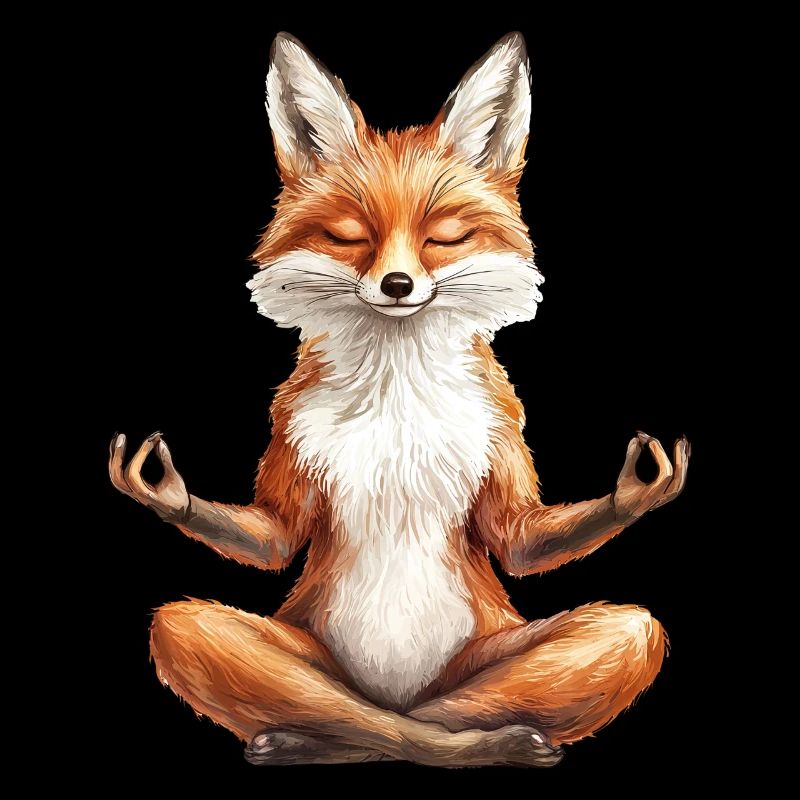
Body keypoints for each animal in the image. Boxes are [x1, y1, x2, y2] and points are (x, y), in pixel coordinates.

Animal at [109, 32, 689, 767]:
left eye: (443, 236)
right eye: (349, 235)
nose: (396, 284)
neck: (397, 395)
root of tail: (396, 692)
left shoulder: (501, 432)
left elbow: (519, 541)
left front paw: (634, 490)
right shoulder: (290, 430)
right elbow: (276, 537)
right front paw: (168, 490)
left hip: (532, 647)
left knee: (443, 708)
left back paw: (485, 739)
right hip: (248, 637)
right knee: (348, 707)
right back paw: (317, 739)